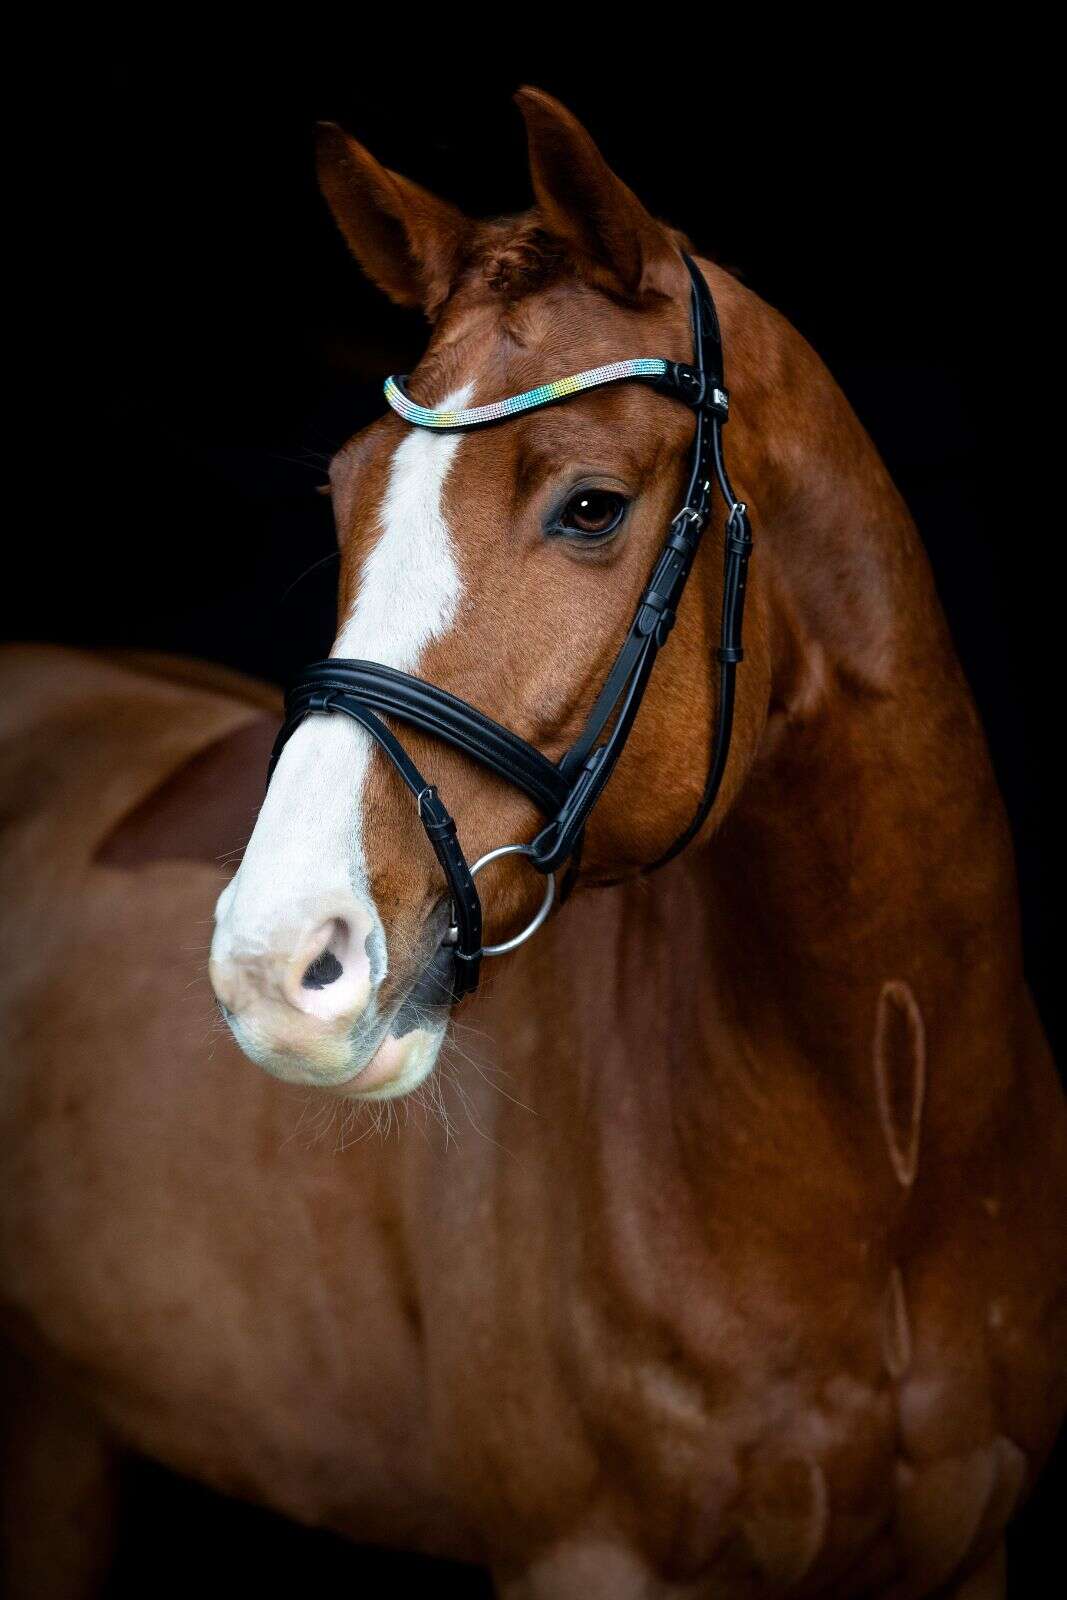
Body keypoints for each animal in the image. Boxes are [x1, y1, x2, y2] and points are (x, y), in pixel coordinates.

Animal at [1, 88, 1063, 1599]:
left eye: (590, 505)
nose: (275, 960)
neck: (888, 1142)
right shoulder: (587, 1557)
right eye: (343, 496)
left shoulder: (967, 1555)